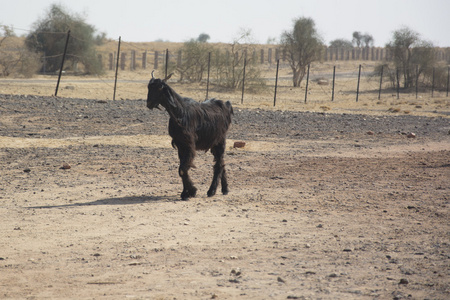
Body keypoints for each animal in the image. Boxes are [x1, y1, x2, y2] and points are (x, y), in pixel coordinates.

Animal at [147, 71, 234, 200]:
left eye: (159, 88)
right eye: (148, 87)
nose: (149, 104)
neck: (180, 113)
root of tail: (226, 105)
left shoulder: (189, 144)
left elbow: (183, 169)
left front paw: (192, 191)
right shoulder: (180, 144)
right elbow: (183, 169)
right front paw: (185, 193)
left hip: (220, 140)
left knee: (218, 165)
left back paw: (211, 191)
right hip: (214, 143)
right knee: (222, 162)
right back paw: (225, 189)